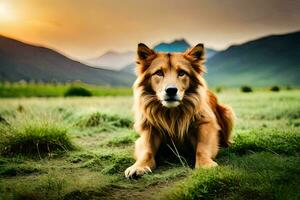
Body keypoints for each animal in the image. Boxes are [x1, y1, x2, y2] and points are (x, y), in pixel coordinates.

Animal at [124, 43, 234, 178]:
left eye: (182, 73)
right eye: (159, 73)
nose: (171, 90)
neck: (172, 113)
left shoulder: (206, 124)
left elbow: (202, 147)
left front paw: (205, 164)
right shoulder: (149, 129)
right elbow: (147, 151)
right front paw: (138, 167)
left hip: (227, 111)